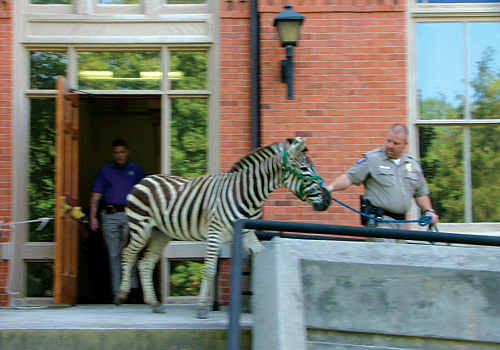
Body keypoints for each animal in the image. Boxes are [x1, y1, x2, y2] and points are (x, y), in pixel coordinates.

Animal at [114, 137, 330, 318]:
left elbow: (261, 255)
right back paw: (121, 296)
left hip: (161, 233)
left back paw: (154, 303)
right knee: (128, 255)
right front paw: (202, 308)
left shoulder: (247, 234)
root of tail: (145, 179)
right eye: (304, 169)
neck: (247, 194)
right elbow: (209, 269)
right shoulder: (215, 233)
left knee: (145, 263)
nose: (328, 200)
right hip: (141, 228)